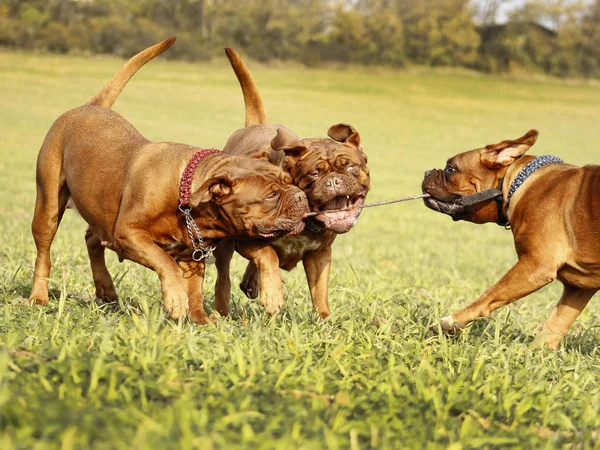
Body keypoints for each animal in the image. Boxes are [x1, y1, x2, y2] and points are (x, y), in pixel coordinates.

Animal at [213, 48, 368, 316]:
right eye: (314, 174)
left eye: (350, 167)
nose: (333, 181)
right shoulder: (248, 239)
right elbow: (268, 255)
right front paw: (273, 295)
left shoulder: (319, 254)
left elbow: (319, 291)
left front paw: (324, 319)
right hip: (224, 245)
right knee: (224, 277)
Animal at [422, 128, 600, 350]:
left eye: (450, 169)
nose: (427, 172)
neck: (516, 182)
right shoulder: (578, 288)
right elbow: (556, 323)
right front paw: (535, 354)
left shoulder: (535, 266)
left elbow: (490, 294)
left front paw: (452, 321)